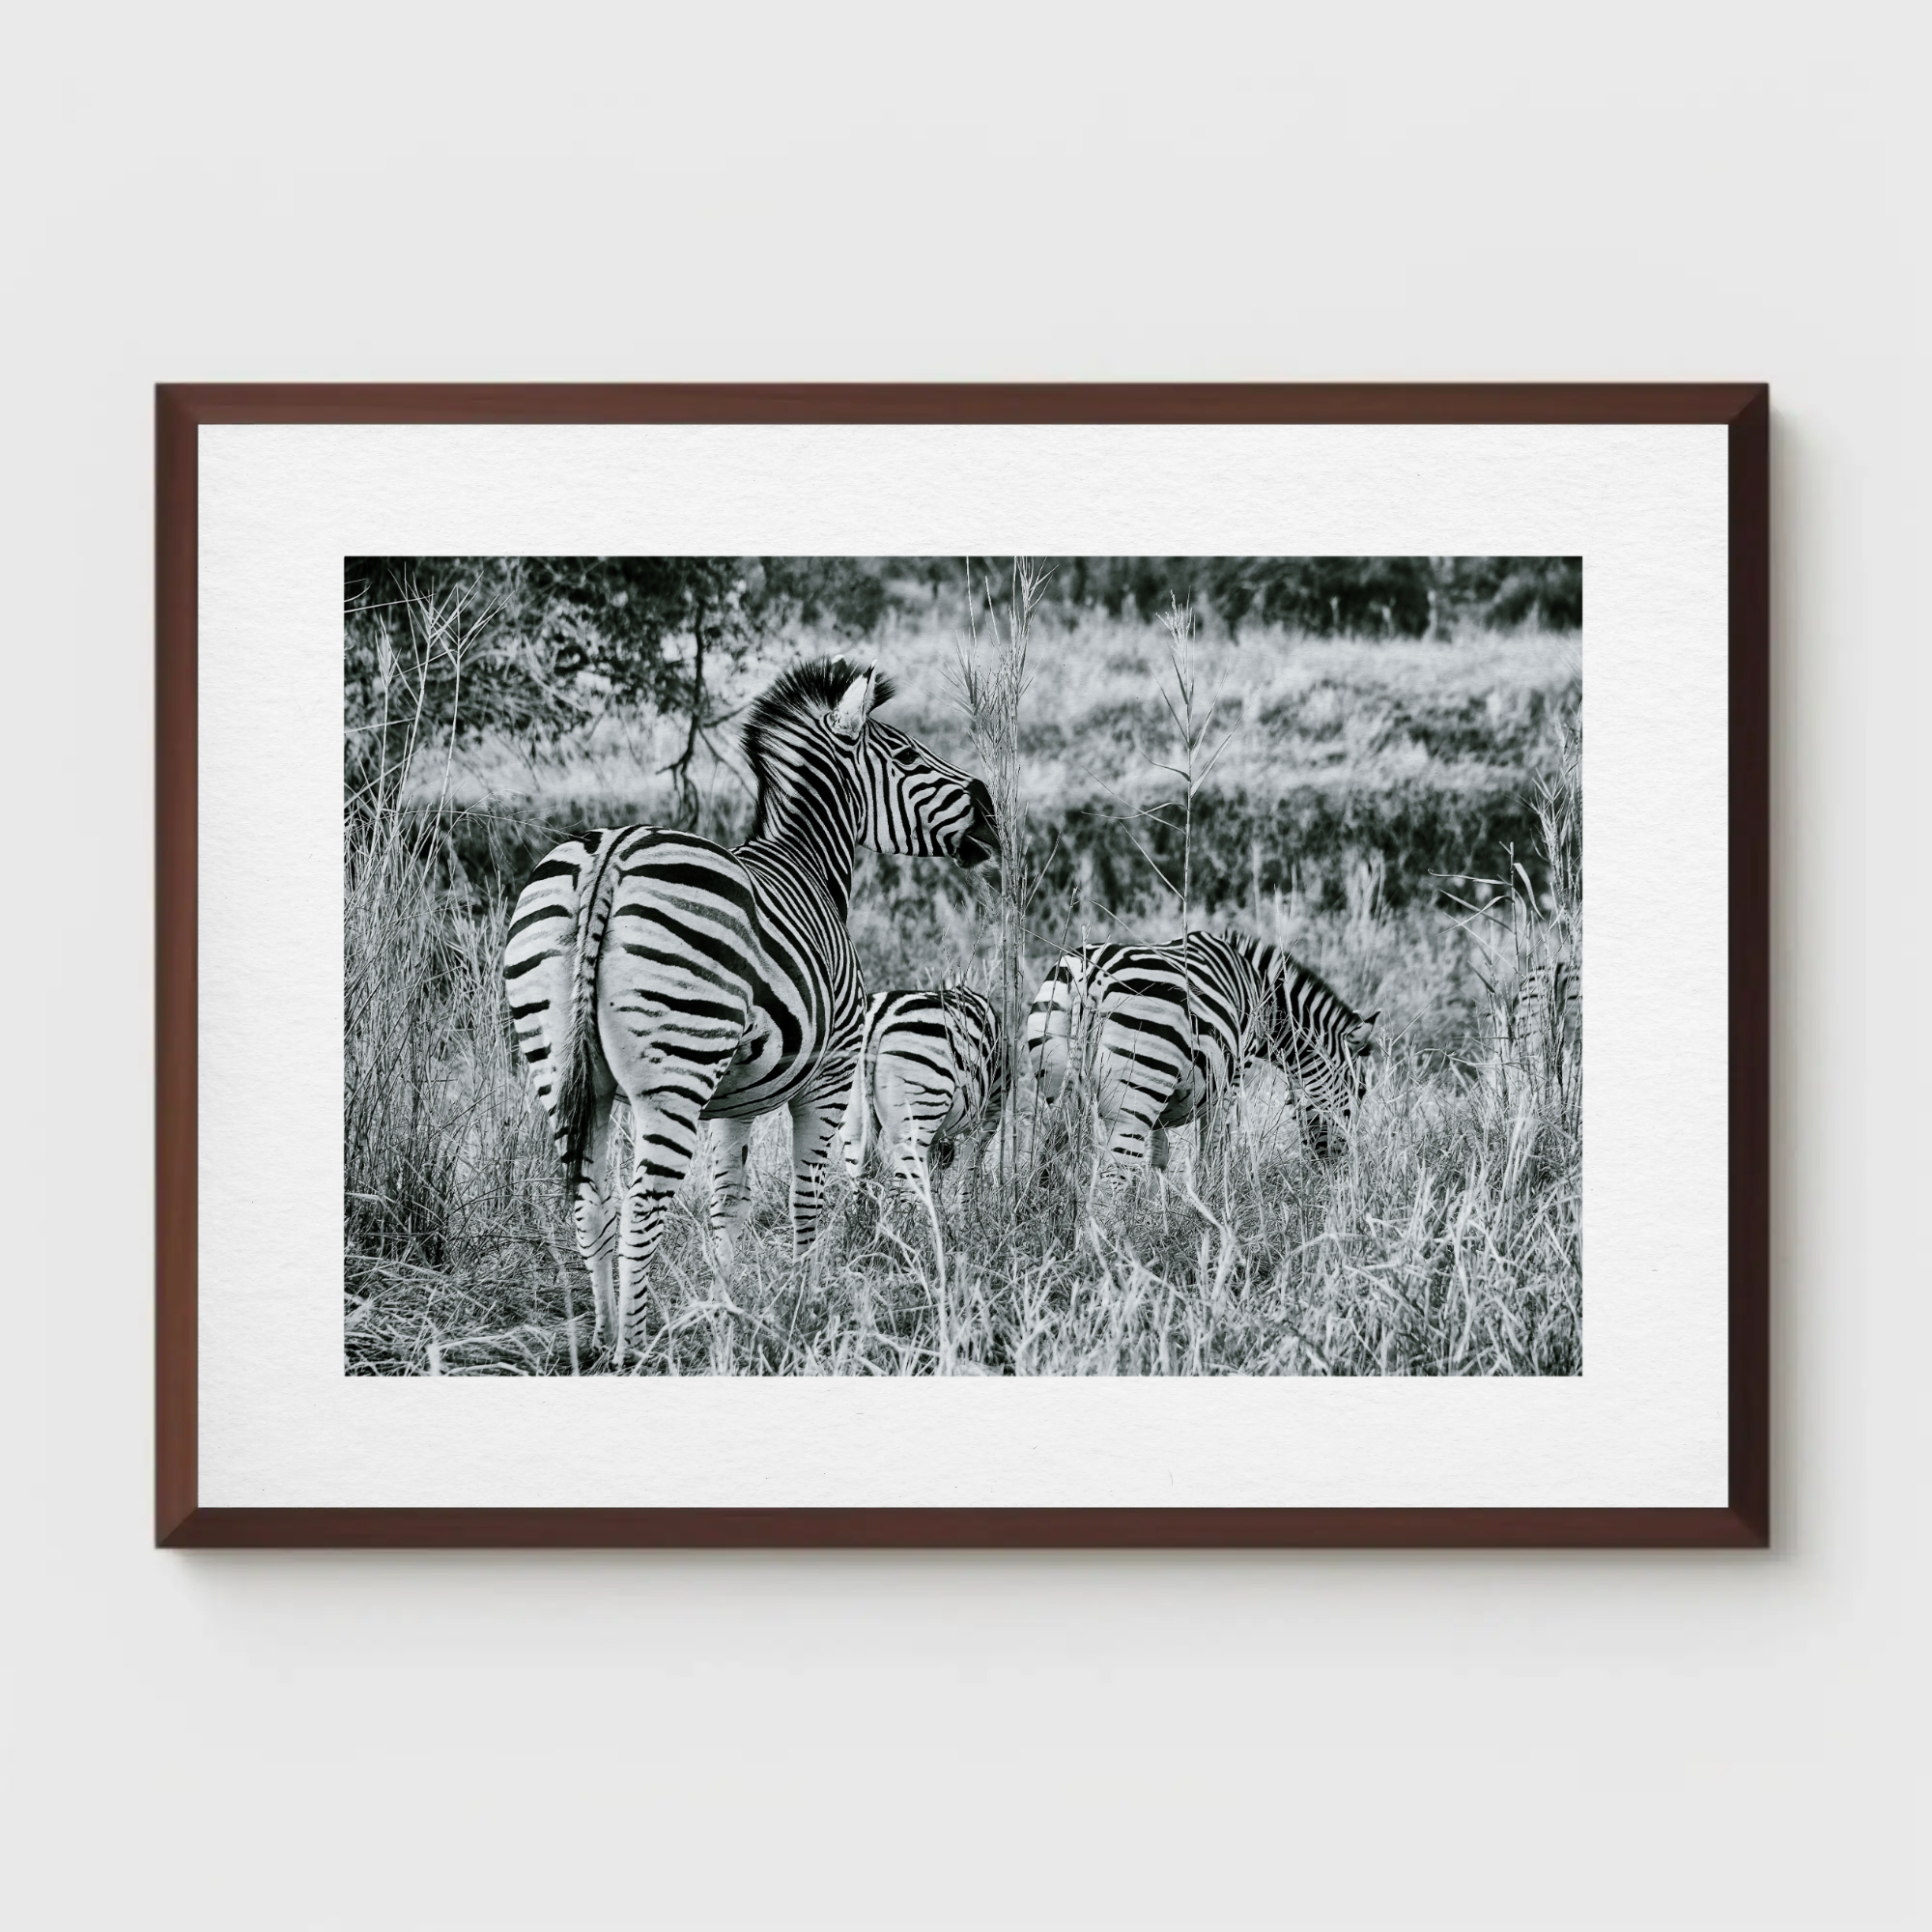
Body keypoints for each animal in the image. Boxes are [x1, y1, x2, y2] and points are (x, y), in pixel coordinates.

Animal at [840, 983, 1008, 1204]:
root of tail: (876, 1018)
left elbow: (935, 1177)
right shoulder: (989, 1115)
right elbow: (968, 1174)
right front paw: (966, 1213)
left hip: (853, 1118)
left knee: (861, 1184)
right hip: (914, 1122)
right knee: (902, 1192)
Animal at [1025, 930, 1377, 1175]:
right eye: (1361, 1090)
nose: (1341, 1166)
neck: (1264, 997)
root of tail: (1091, 977)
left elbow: (1159, 1156)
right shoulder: (1232, 1077)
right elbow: (1214, 1146)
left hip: (1060, 1086)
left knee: (1055, 1163)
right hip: (1131, 1101)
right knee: (1115, 1175)